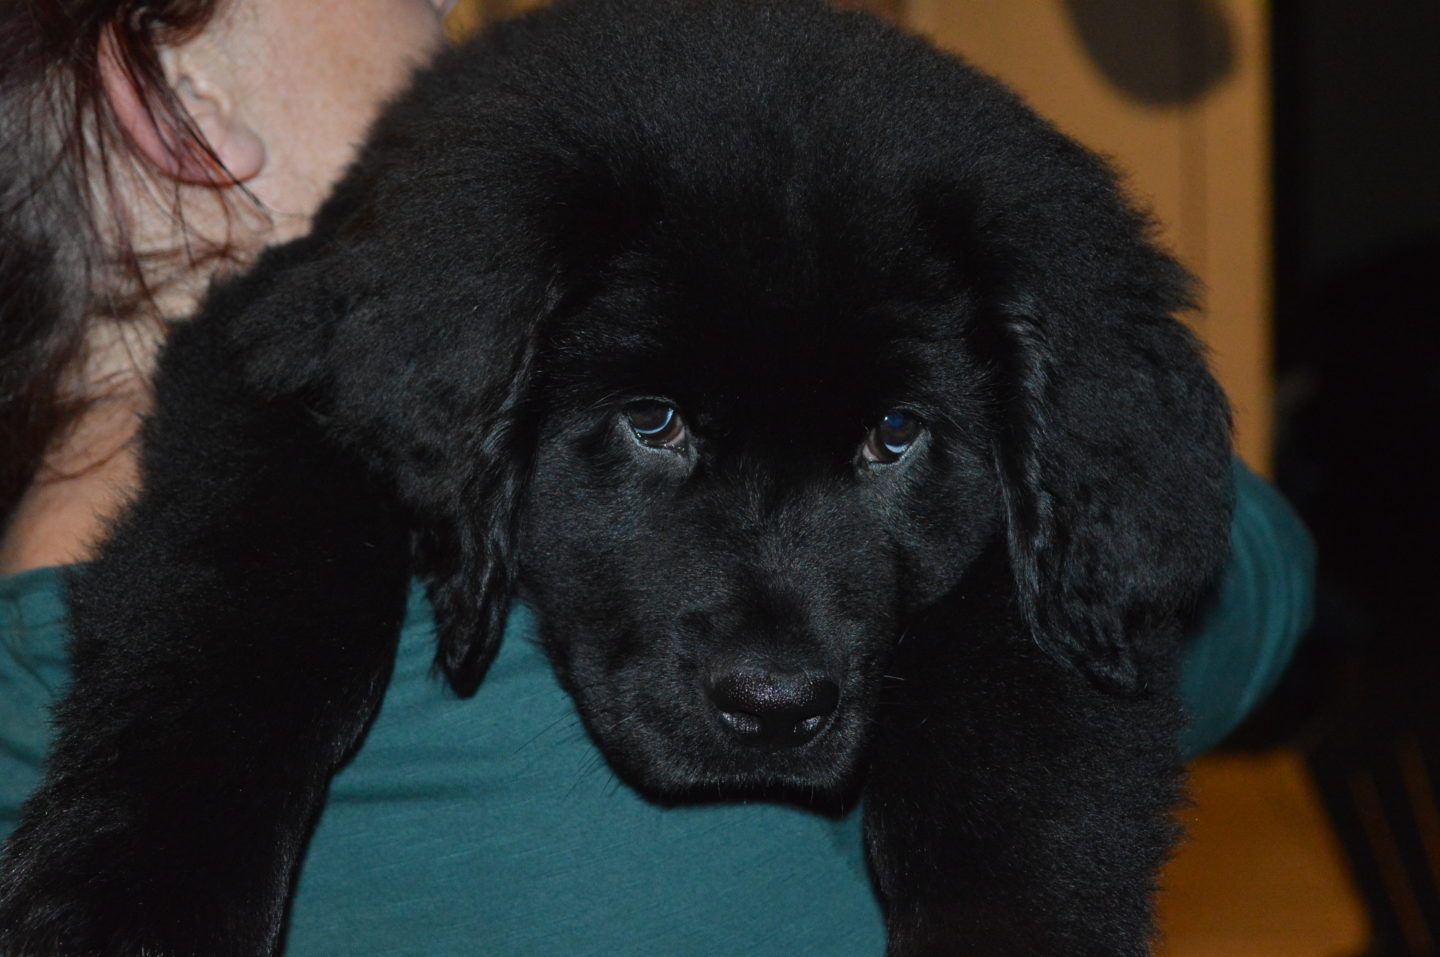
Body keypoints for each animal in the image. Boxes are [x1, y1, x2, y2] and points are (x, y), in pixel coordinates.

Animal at [2, 0, 1238, 949]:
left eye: (895, 435)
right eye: (654, 422)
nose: (776, 708)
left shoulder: (1061, 573)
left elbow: (1022, 719)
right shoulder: (268, 356)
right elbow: (246, 588)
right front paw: (130, 903)